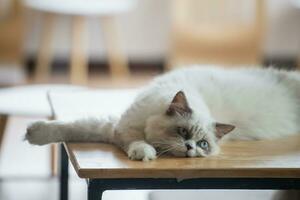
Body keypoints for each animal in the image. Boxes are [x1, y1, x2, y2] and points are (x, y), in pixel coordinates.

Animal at [24, 65, 300, 161]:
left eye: (203, 144)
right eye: (182, 132)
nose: (190, 148)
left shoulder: (119, 130)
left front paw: (143, 154)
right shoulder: (119, 129)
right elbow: (70, 127)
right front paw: (33, 134)